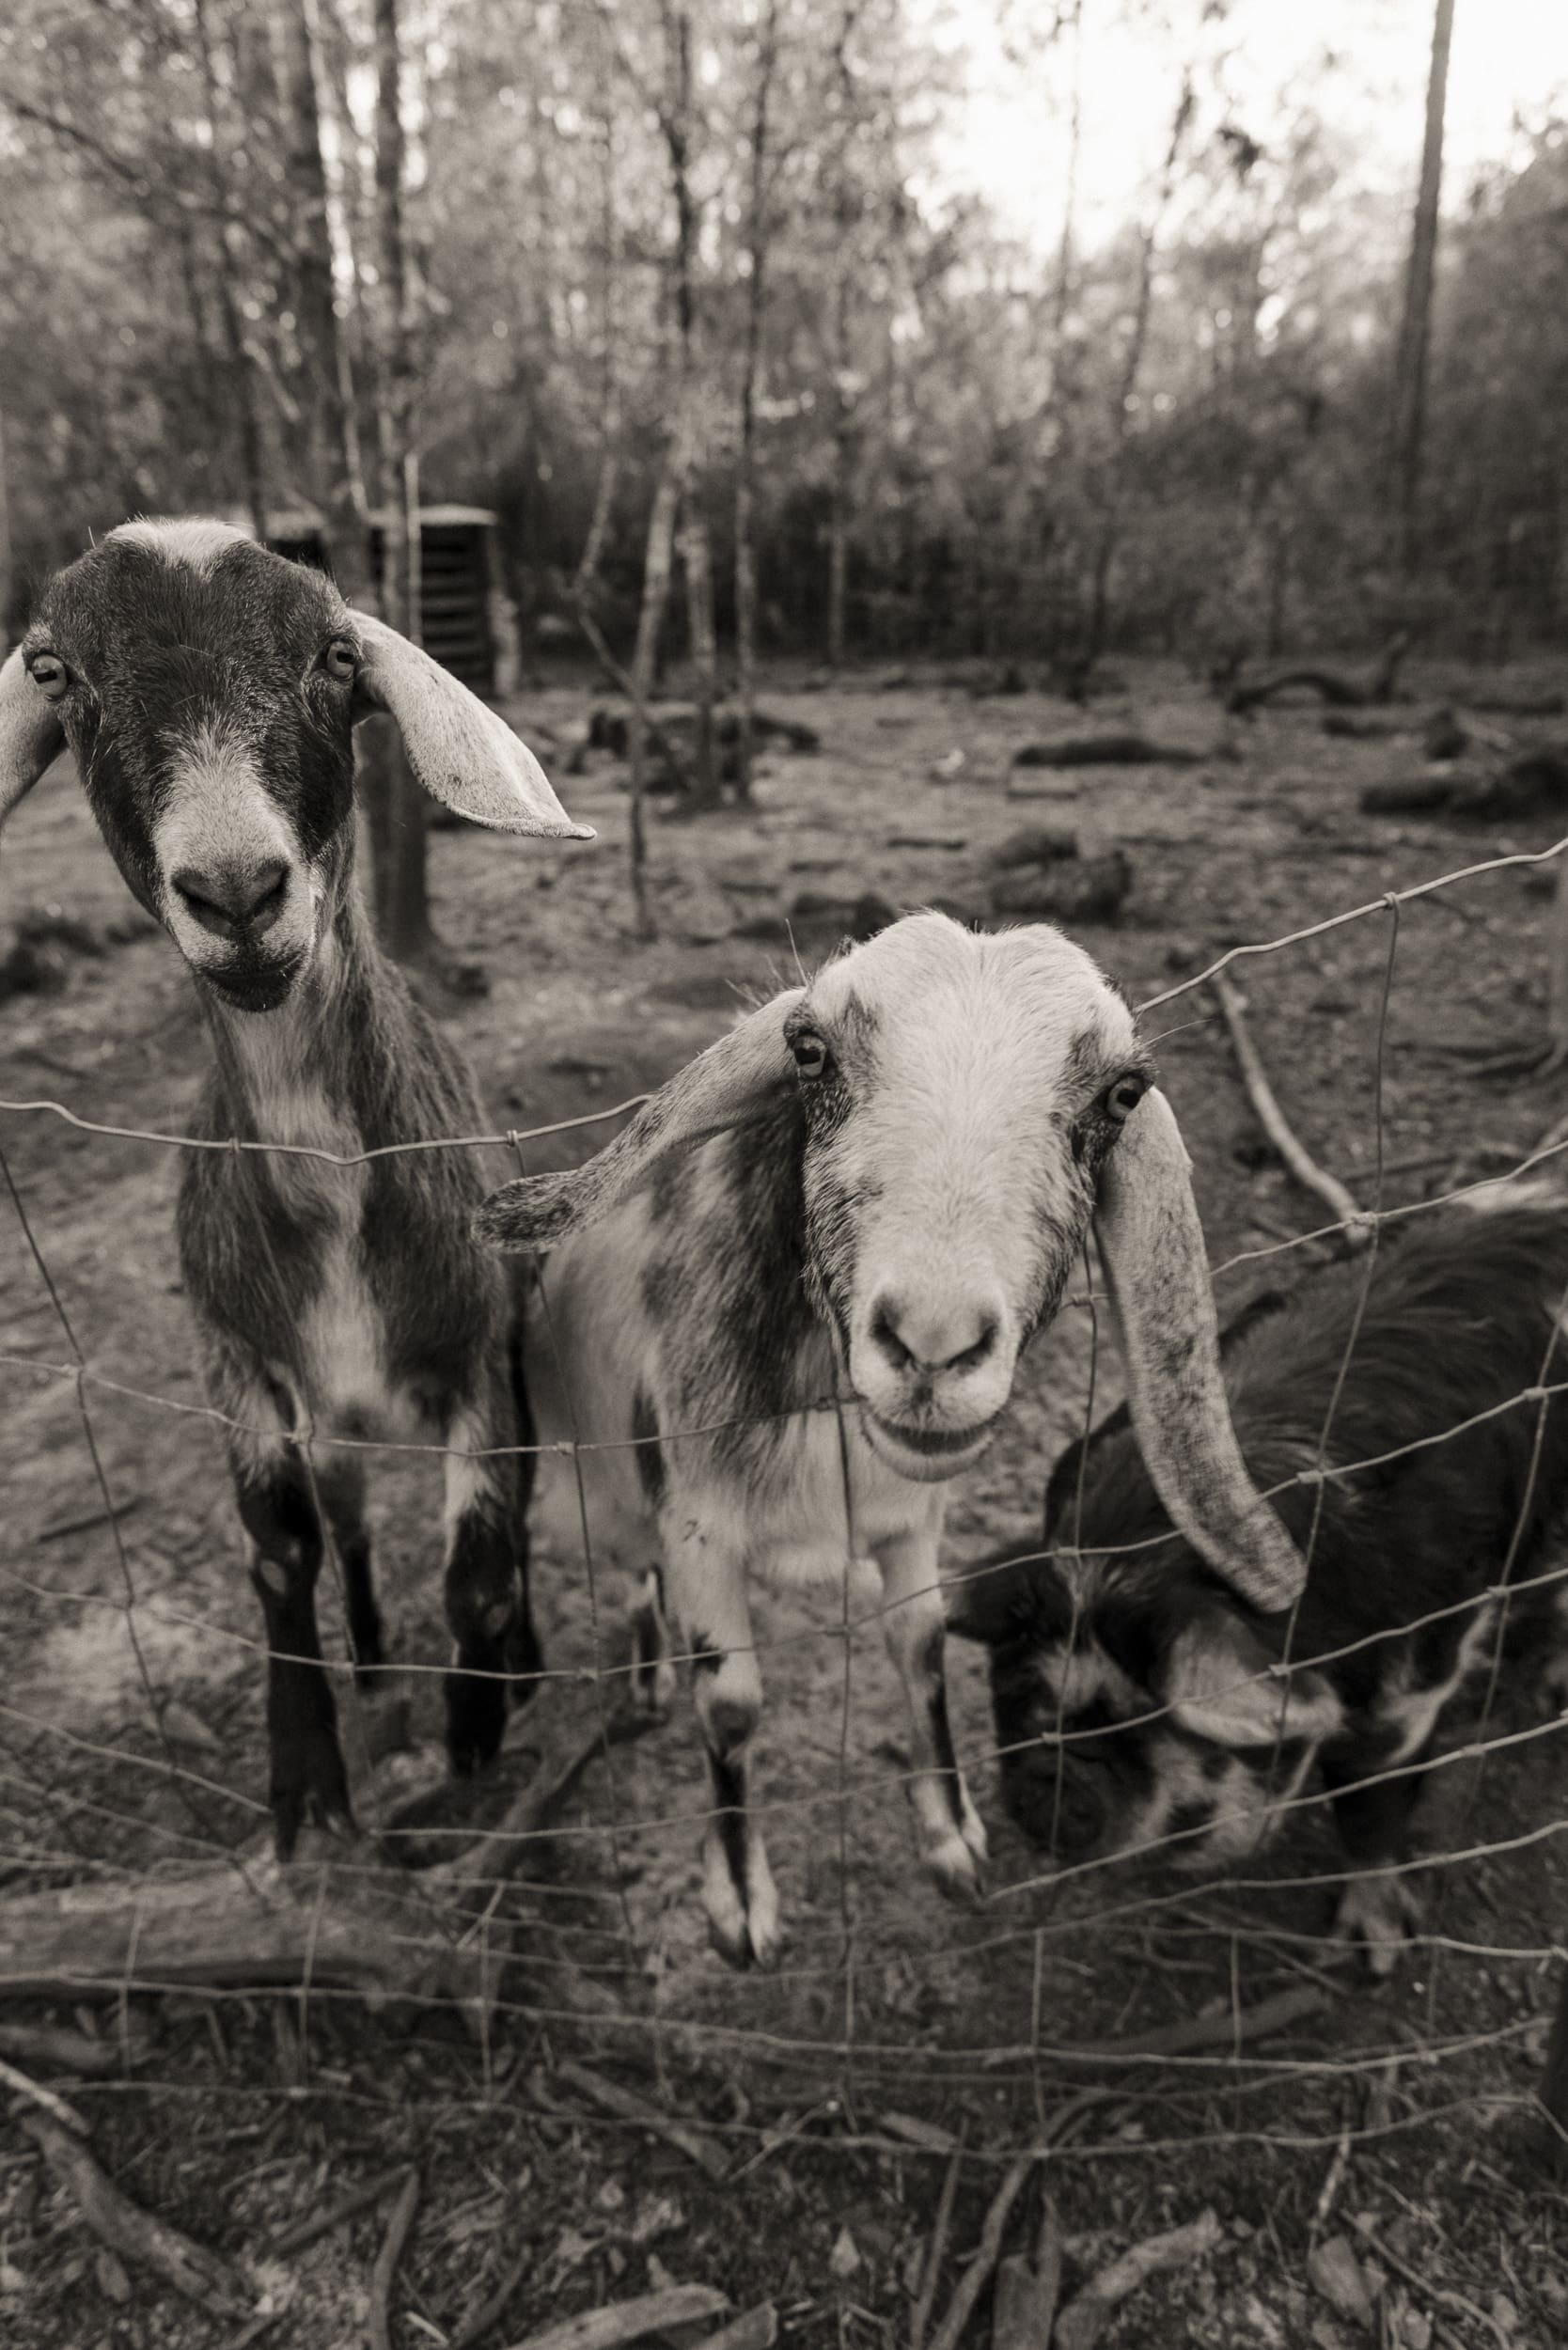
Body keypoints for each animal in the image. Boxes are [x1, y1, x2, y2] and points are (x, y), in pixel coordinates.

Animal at [0, 517, 591, 1853]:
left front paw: (476, 1734)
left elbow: (482, 1571)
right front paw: (308, 1785)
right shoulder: (237, 1360)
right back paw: (369, 1660)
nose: (235, 890)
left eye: (333, 655)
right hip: (338, 1428)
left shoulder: (479, 1355)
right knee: (355, 1527)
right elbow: (281, 1558)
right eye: (57, 672)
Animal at [472, 910, 1304, 1965]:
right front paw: (740, 1899)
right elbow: (731, 1704)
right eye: (811, 1051)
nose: (933, 1344)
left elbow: (919, 1643)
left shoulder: (913, 1519)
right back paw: (649, 1672)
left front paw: (952, 1834)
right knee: (630, 1570)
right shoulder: (700, 1529)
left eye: (1121, 1093)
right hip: (597, 1499)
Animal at [948, 1190, 1568, 1972]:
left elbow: (1373, 1801)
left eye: (1152, 1718)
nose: (1048, 1783)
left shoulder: (1412, 1676)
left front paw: (1372, 1955)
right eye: (1025, 1689)